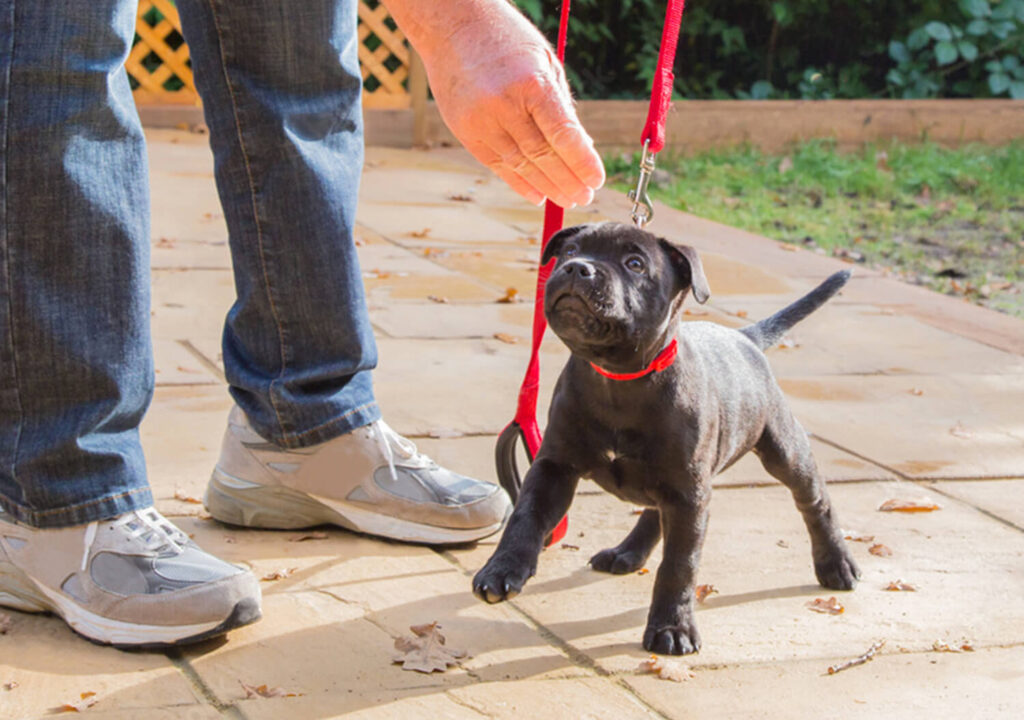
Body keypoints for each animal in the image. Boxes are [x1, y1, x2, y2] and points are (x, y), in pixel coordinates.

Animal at [475, 222, 860, 655]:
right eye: (570, 250)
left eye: (635, 263)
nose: (577, 268)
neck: (618, 377)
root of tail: (744, 338)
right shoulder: (554, 466)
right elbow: (525, 516)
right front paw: (502, 569)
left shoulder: (689, 493)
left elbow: (680, 564)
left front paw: (672, 627)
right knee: (654, 510)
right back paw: (627, 551)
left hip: (782, 449)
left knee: (814, 501)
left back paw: (836, 563)